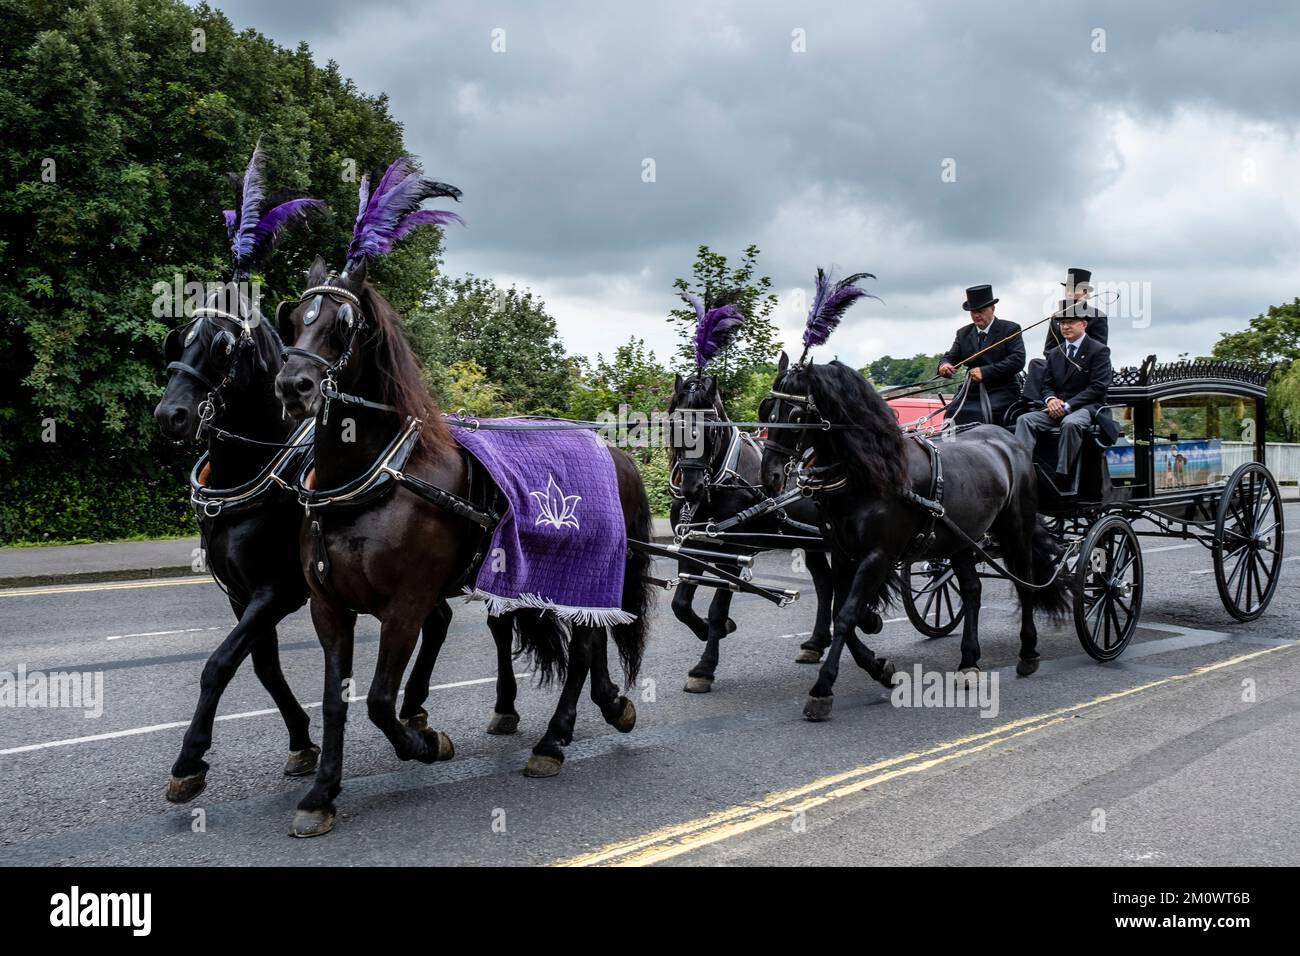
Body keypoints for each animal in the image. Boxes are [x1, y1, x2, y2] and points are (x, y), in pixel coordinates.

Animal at [665, 369, 837, 691]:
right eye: (674, 426)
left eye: (711, 430)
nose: (691, 488)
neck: (720, 482)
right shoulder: (691, 546)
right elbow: (680, 604)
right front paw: (709, 630)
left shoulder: (733, 554)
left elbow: (716, 610)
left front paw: (704, 667)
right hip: (811, 542)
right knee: (824, 583)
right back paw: (816, 643)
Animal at [759, 356, 1066, 723]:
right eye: (766, 409)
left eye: (794, 415)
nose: (770, 476)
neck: (869, 473)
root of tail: (1008, 439)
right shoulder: (844, 553)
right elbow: (842, 613)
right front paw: (880, 665)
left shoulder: (877, 556)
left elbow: (846, 615)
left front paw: (822, 689)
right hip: (960, 540)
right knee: (972, 590)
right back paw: (968, 661)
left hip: (1015, 529)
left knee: (1024, 583)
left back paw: (1028, 652)